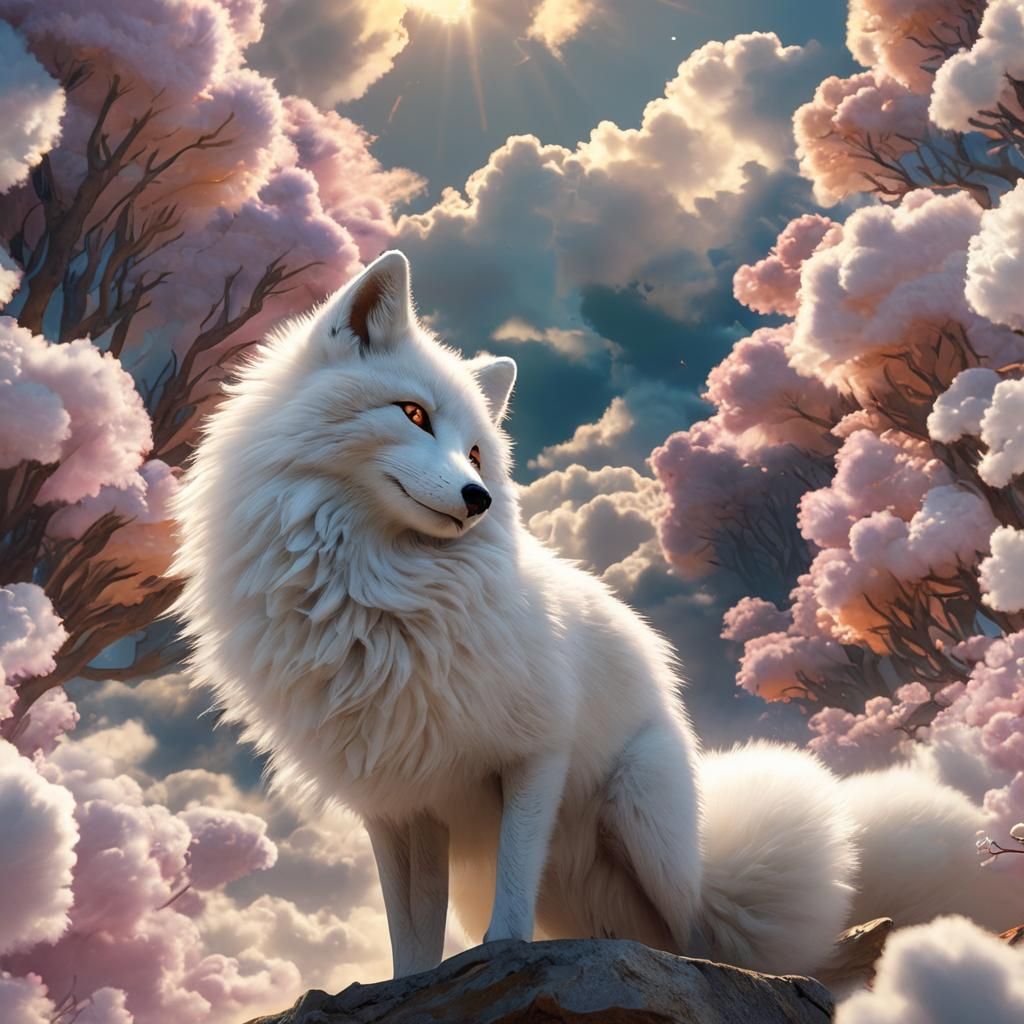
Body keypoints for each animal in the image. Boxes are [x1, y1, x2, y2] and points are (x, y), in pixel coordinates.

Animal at [171, 250, 1017, 982]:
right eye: (411, 413)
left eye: (476, 454)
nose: (479, 500)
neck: (375, 593)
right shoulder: (399, 806)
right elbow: (410, 931)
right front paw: (406, 986)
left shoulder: (535, 751)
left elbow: (512, 886)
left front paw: (501, 958)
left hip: (641, 815)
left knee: (698, 935)